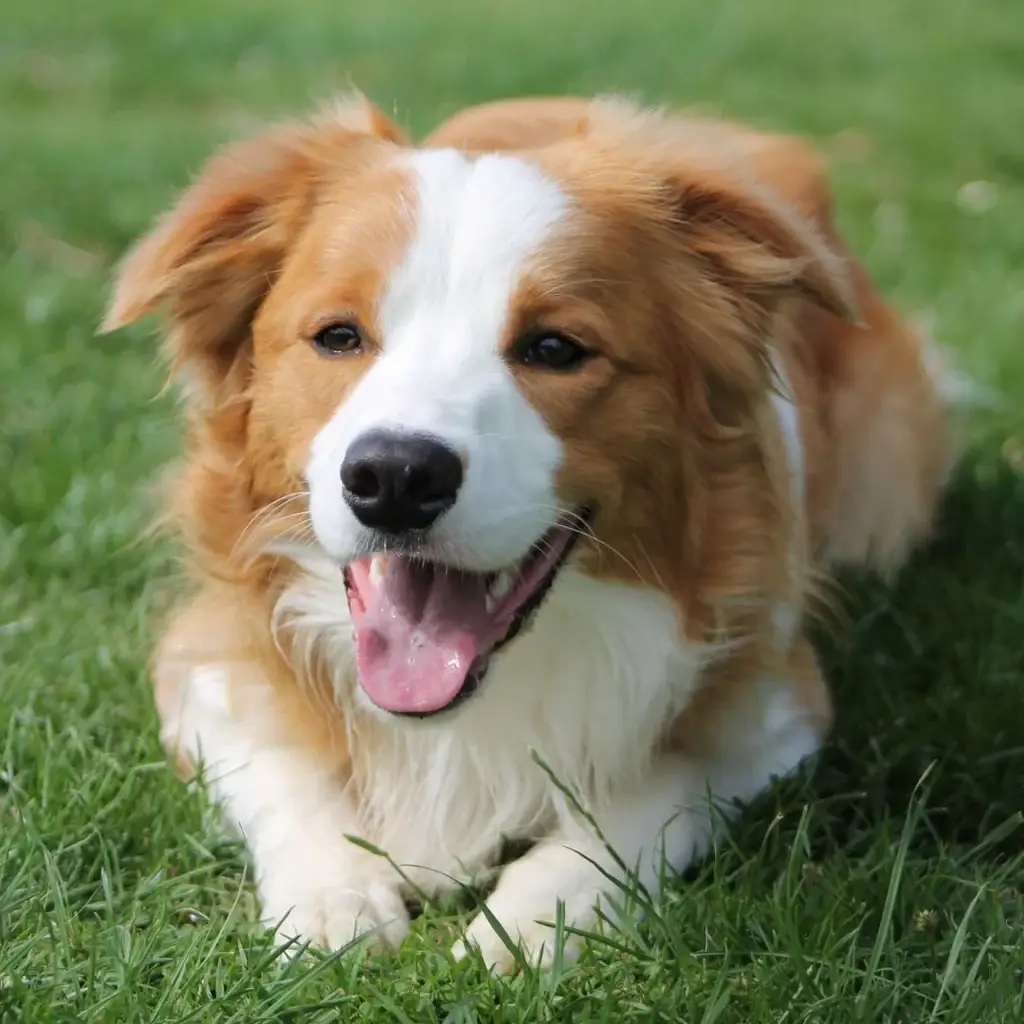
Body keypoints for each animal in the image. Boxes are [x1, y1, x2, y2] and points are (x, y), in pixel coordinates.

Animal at [99, 92, 954, 970]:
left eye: (554, 348)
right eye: (338, 336)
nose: (395, 477)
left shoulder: (780, 703)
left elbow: (652, 791)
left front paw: (534, 918)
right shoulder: (201, 666)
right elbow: (284, 766)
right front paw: (333, 899)